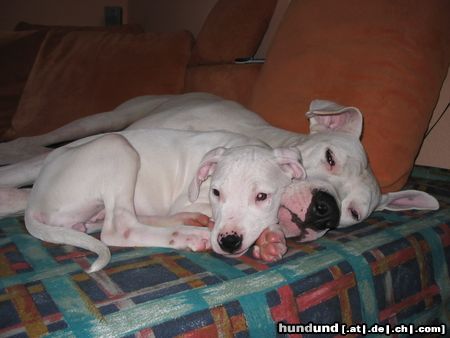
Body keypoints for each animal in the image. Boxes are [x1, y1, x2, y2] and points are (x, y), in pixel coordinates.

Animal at [21, 129, 304, 272]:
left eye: (261, 196)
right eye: (216, 193)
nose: (228, 242)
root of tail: (34, 199)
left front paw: (270, 240)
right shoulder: (191, 199)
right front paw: (272, 232)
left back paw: (186, 222)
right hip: (116, 145)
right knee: (119, 228)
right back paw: (190, 234)